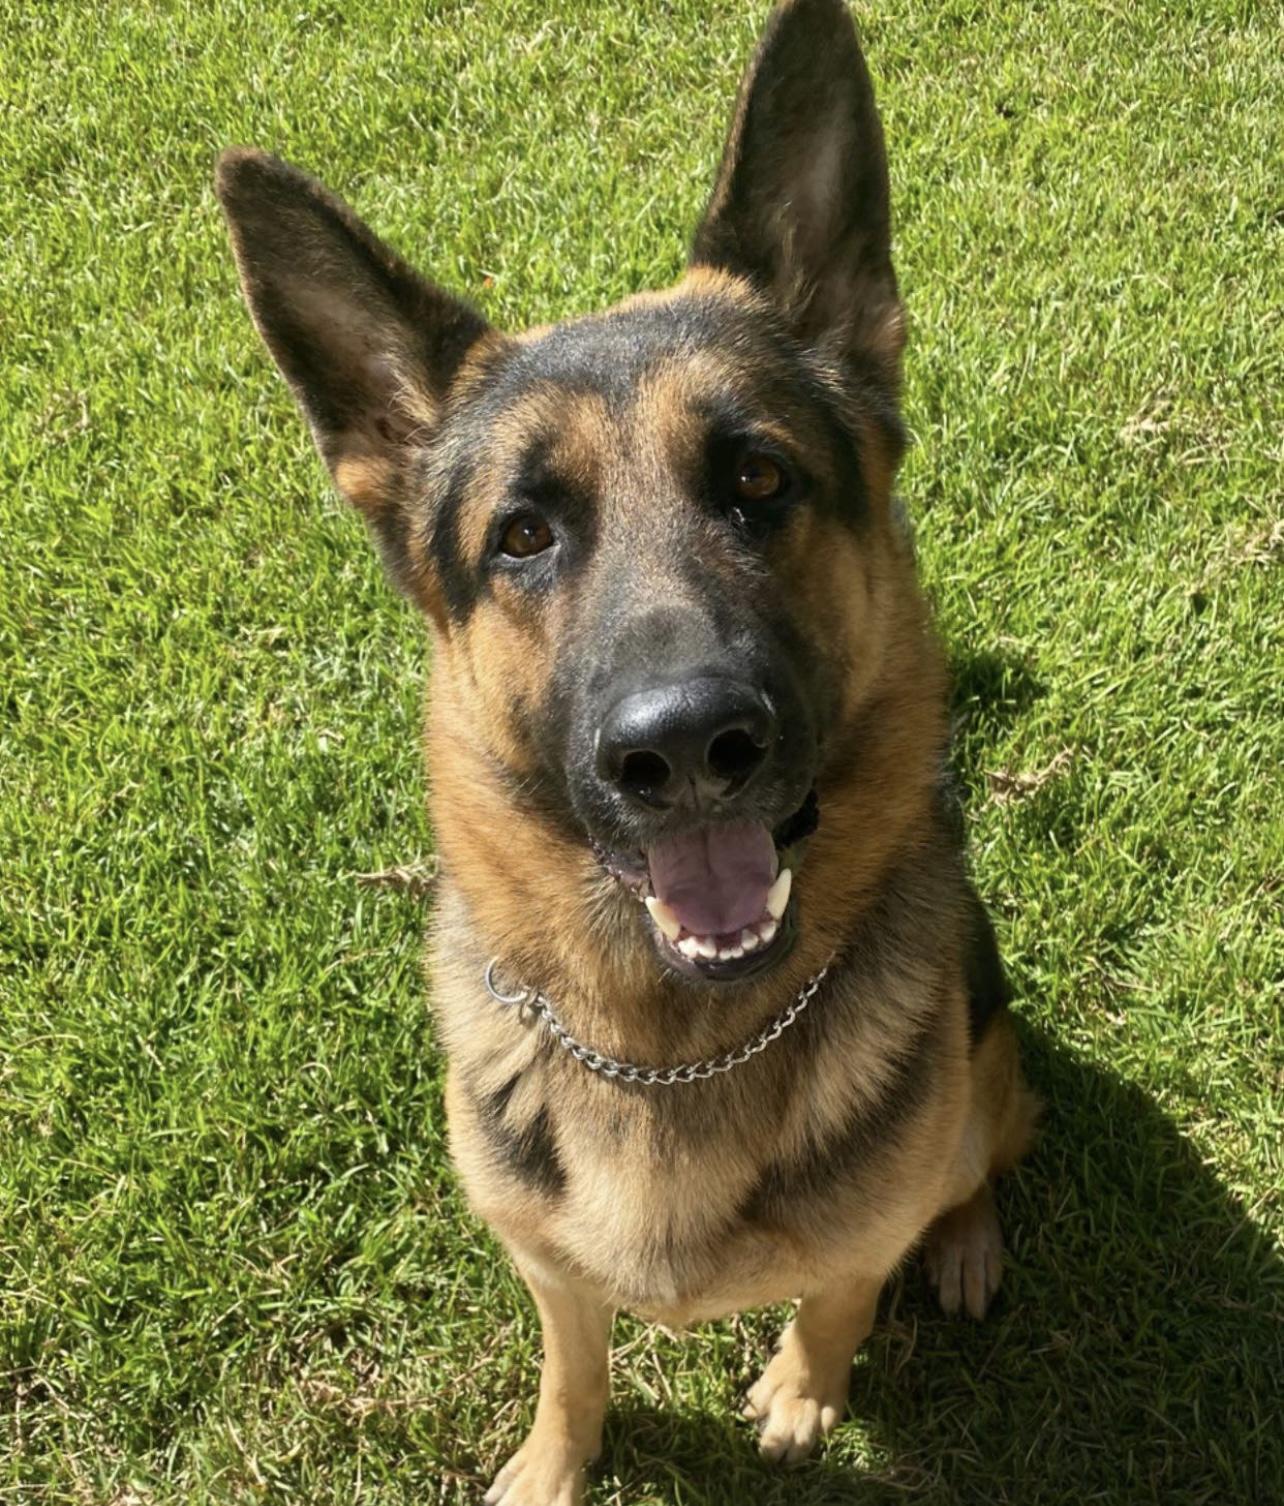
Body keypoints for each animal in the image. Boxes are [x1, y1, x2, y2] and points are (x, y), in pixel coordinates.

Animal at [216, 1, 1037, 1500]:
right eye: (522, 534)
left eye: (759, 477)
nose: (686, 747)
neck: (673, 1044)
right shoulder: (548, 1270)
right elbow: (574, 1363)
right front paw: (557, 1458)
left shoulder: (858, 1240)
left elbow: (837, 1302)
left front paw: (804, 1391)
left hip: (983, 1079)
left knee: (986, 1155)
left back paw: (963, 1242)